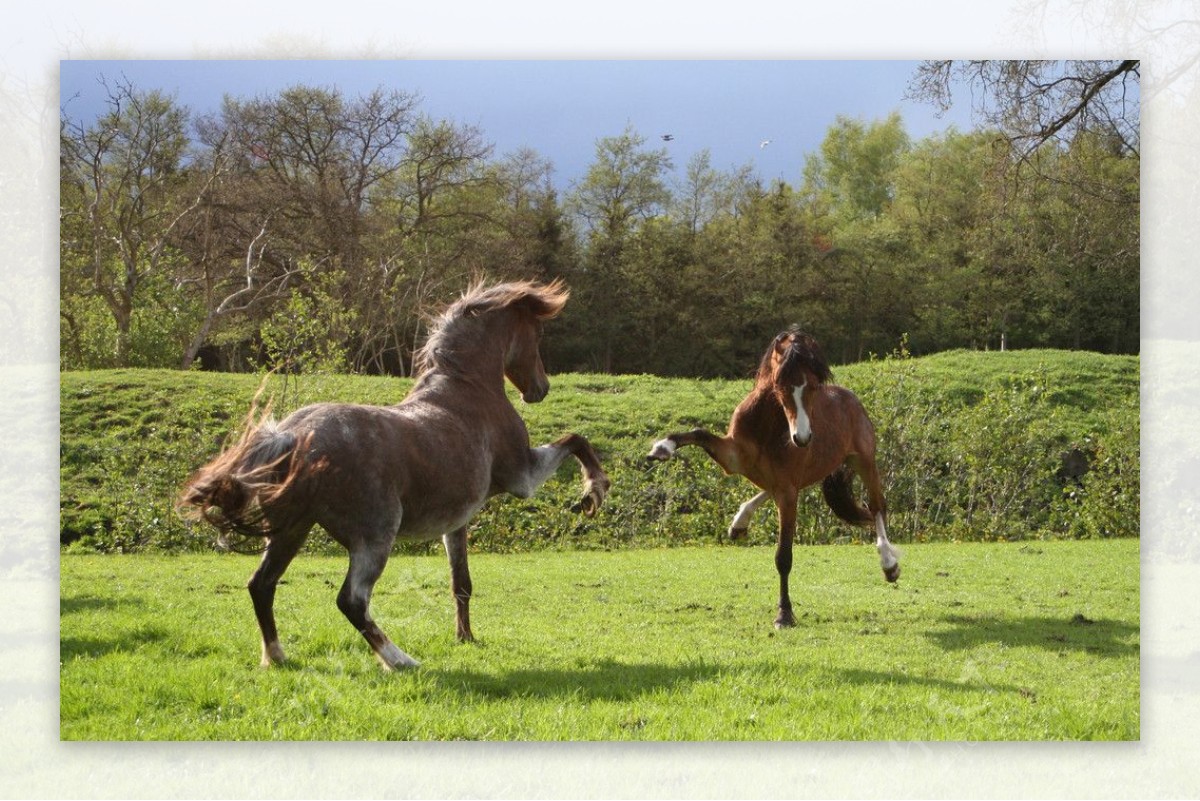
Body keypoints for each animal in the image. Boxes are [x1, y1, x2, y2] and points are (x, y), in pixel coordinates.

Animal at [177, 278, 609, 666]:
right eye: (536, 333)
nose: (540, 389)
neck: (468, 390)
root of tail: (291, 435)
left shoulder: (456, 522)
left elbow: (461, 583)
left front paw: (465, 637)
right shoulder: (524, 477)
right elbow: (575, 440)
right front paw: (594, 491)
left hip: (291, 530)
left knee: (261, 585)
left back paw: (277, 656)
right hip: (374, 537)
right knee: (351, 601)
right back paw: (400, 660)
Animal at [652, 328, 897, 628]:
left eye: (813, 386)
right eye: (780, 384)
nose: (801, 438)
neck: (766, 426)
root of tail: (851, 399)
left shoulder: (788, 490)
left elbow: (784, 556)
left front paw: (784, 614)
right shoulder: (734, 458)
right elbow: (698, 433)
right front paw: (662, 448)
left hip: (863, 461)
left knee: (877, 507)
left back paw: (889, 564)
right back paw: (739, 522)